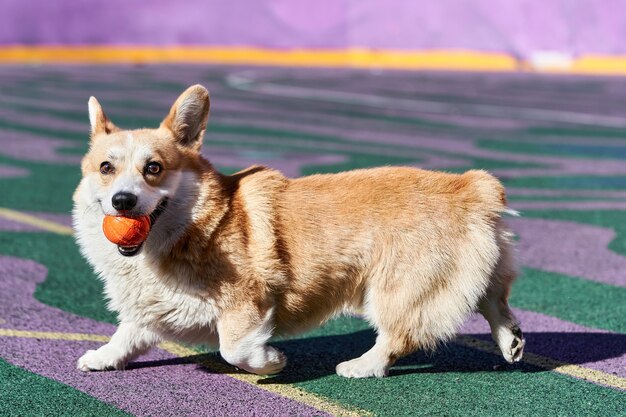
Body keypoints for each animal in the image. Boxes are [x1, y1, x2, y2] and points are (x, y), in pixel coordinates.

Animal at [73, 84, 520, 376]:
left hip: (395, 288)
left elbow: (233, 348)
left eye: (154, 168)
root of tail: (471, 187)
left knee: (398, 335)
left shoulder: (246, 301)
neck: (189, 227)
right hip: (475, 269)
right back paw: (511, 340)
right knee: (492, 299)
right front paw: (102, 357)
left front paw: (270, 362)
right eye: (106, 168)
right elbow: (128, 334)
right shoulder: (148, 309)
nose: (123, 202)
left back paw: (360, 366)